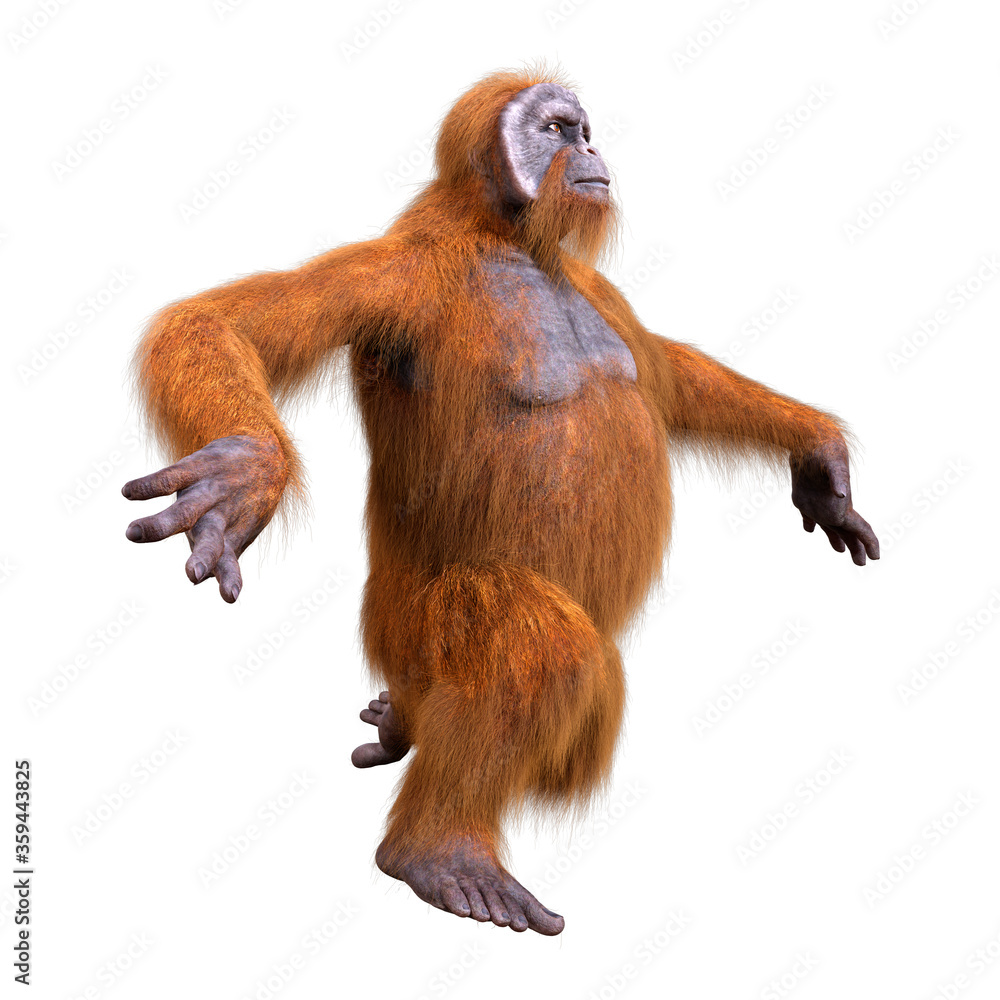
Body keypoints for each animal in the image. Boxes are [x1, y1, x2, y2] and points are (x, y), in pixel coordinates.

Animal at [122, 68, 878, 936]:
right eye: (556, 129)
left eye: (583, 130)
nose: (591, 150)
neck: (511, 242)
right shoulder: (407, 273)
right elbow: (219, 323)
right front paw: (248, 465)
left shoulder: (598, 292)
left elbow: (670, 380)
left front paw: (816, 446)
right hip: (407, 633)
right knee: (531, 636)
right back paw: (439, 848)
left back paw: (409, 736)